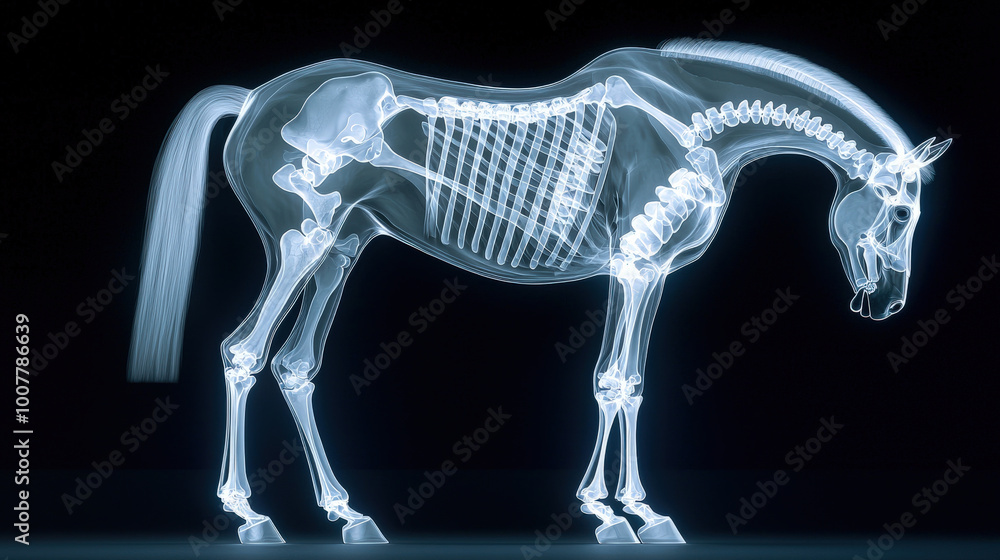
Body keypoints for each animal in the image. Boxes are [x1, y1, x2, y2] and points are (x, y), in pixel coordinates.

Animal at [127, 38, 950, 545]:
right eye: (902, 212)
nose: (888, 307)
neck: (701, 121)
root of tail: (256, 96)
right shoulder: (632, 263)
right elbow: (611, 379)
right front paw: (604, 512)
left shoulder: (653, 272)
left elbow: (637, 382)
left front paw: (644, 509)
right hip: (303, 236)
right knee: (241, 350)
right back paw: (249, 515)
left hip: (346, 244)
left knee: (296, 363)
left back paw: (346, 515)